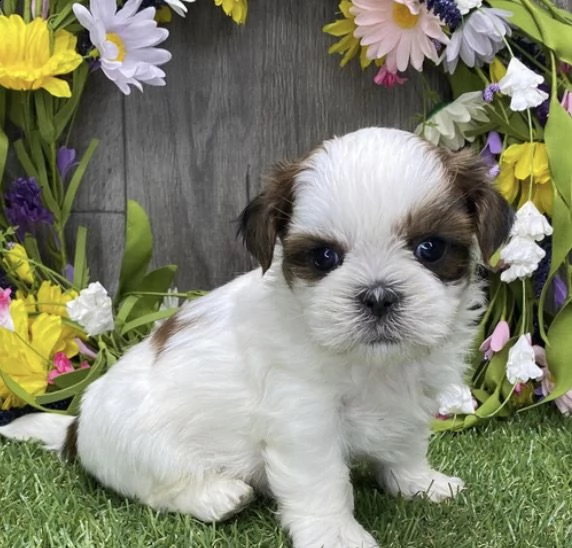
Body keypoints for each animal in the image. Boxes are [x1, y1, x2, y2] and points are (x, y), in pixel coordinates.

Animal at [0, 128, 512, 548]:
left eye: (430, 248)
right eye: (324, 257)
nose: (379, 295)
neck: (368, 363)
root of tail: (75, 428)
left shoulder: (410, 396)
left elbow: (405, 444)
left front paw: (418, 482)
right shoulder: (303, 416)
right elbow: (322, 481)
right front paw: (335, 534)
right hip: (141, 447)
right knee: (157, 486)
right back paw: (217, 495)